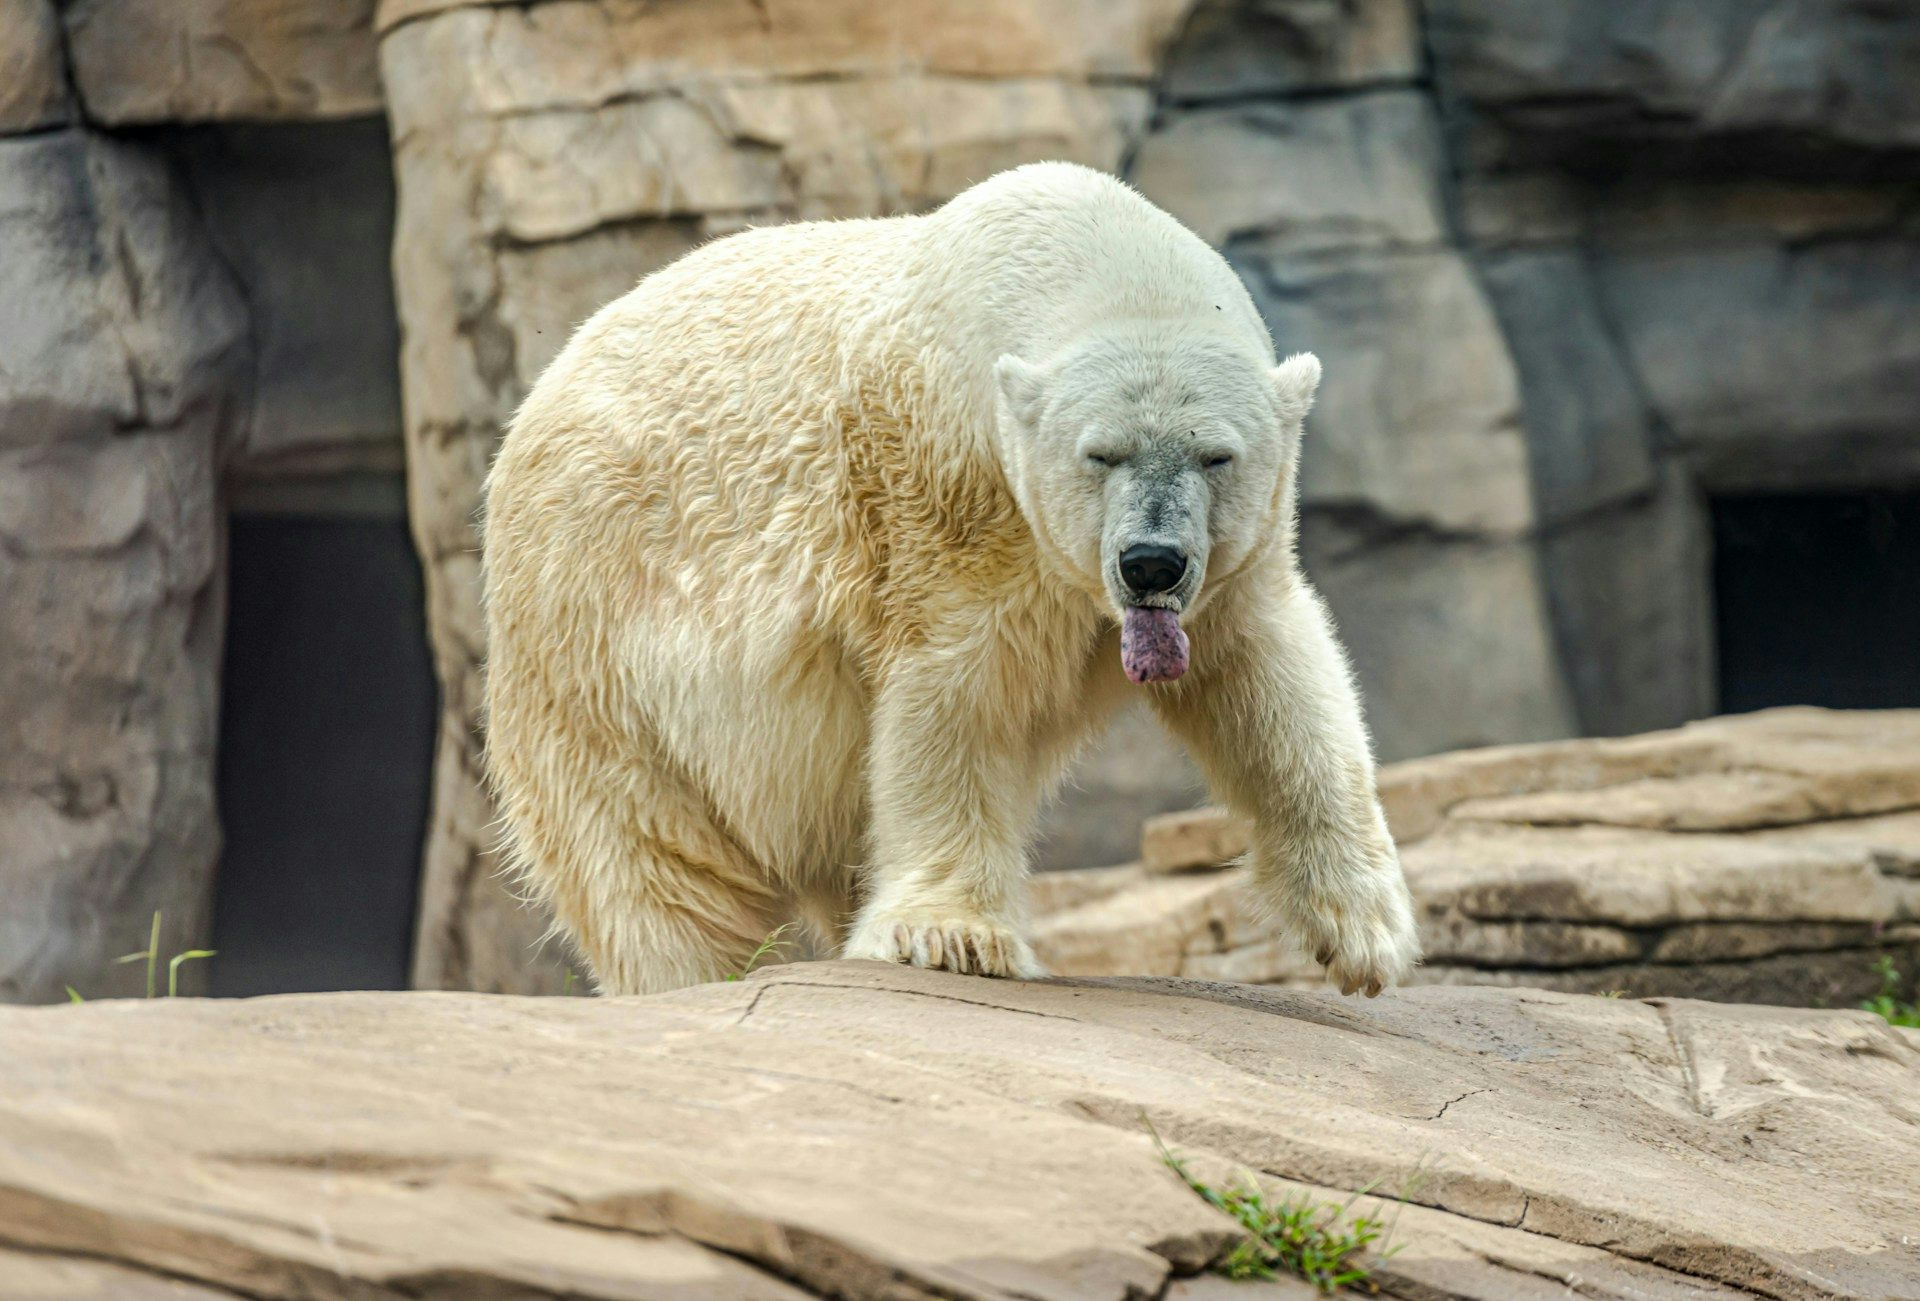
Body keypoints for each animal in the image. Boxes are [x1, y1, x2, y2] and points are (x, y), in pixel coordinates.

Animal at [482, 161, 1420, 997]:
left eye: (1215, 455)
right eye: (1101, 454)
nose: (1150, 561)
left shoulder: (1234, 568)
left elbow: (1266, 680)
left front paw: (1365, 931)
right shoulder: (947, 497)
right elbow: (956, 695)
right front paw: (954, 935)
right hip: (591, 627)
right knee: (648, 852)